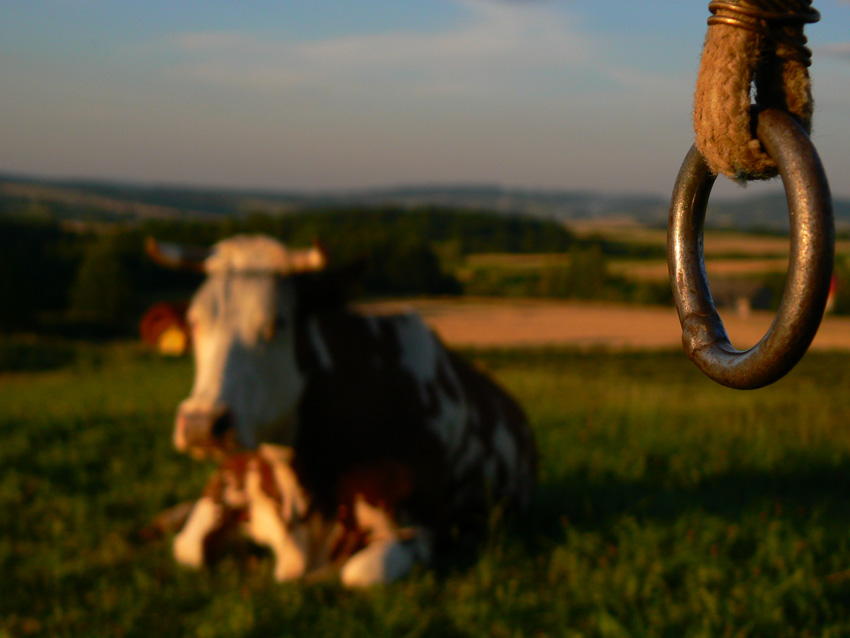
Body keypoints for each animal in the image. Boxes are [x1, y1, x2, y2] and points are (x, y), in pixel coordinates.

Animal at [143, 236, 532, 592]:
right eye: (194, 323)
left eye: (276, 324)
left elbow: (358, 573)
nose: (200, 425)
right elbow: (189, 547)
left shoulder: (422, 522)